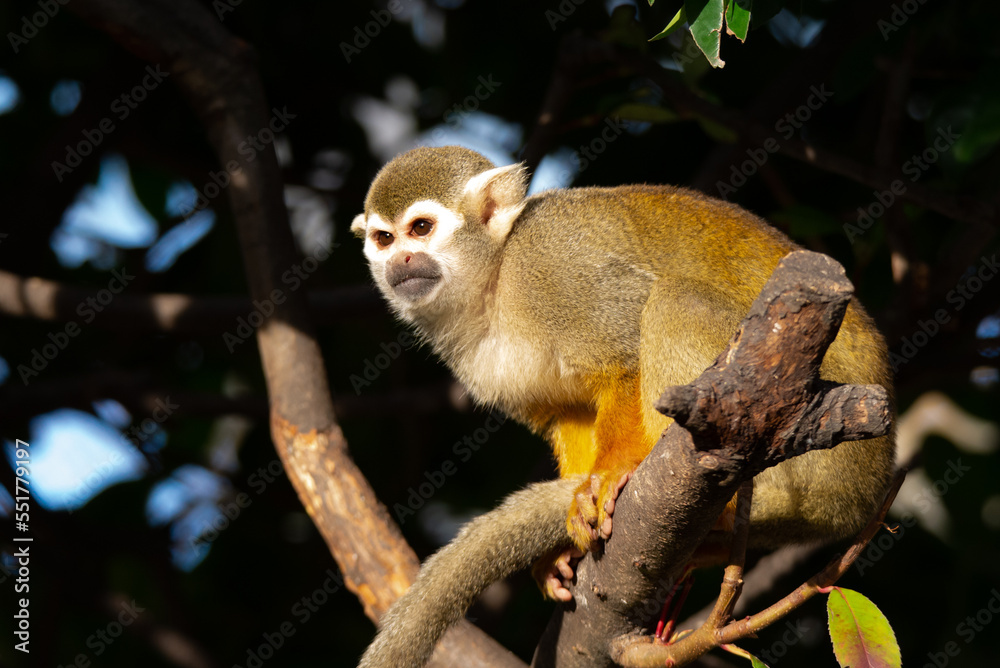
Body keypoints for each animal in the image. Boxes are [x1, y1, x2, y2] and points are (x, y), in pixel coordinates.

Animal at [351, 145, 894, 667]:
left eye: (421, 229)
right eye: (384, 238)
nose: (401, 262)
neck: (494, 281)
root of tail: (866, 491)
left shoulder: (554, 263)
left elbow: (624, 352)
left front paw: (611, 475)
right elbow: (567, 413)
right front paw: (565, 541)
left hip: (814, 449)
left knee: (674, 299)